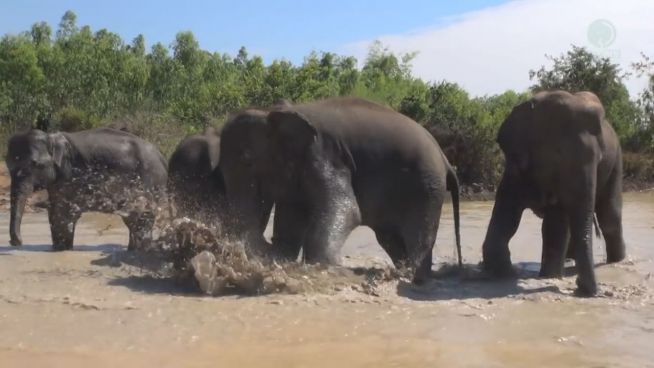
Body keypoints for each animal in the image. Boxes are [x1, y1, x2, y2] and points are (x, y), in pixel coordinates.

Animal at [6, 126, 169, 250]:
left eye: (37, 164)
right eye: (8, 166)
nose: (16, 242)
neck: (51, 137)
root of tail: (161, 157)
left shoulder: (72, 175)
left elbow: (64, 213)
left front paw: (62, 250)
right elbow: (55, 210)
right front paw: (59, 249)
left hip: (150, 181)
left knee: (140, 217)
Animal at [482, 90, 632, 296]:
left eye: (599, 159)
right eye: (557, 154)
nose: (580, 288)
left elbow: (556, 224)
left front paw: (548, 277)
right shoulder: (517, 167)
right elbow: (507, 213)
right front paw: (507, 274)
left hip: (617, 160)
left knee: (610, 217)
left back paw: (616, 262)